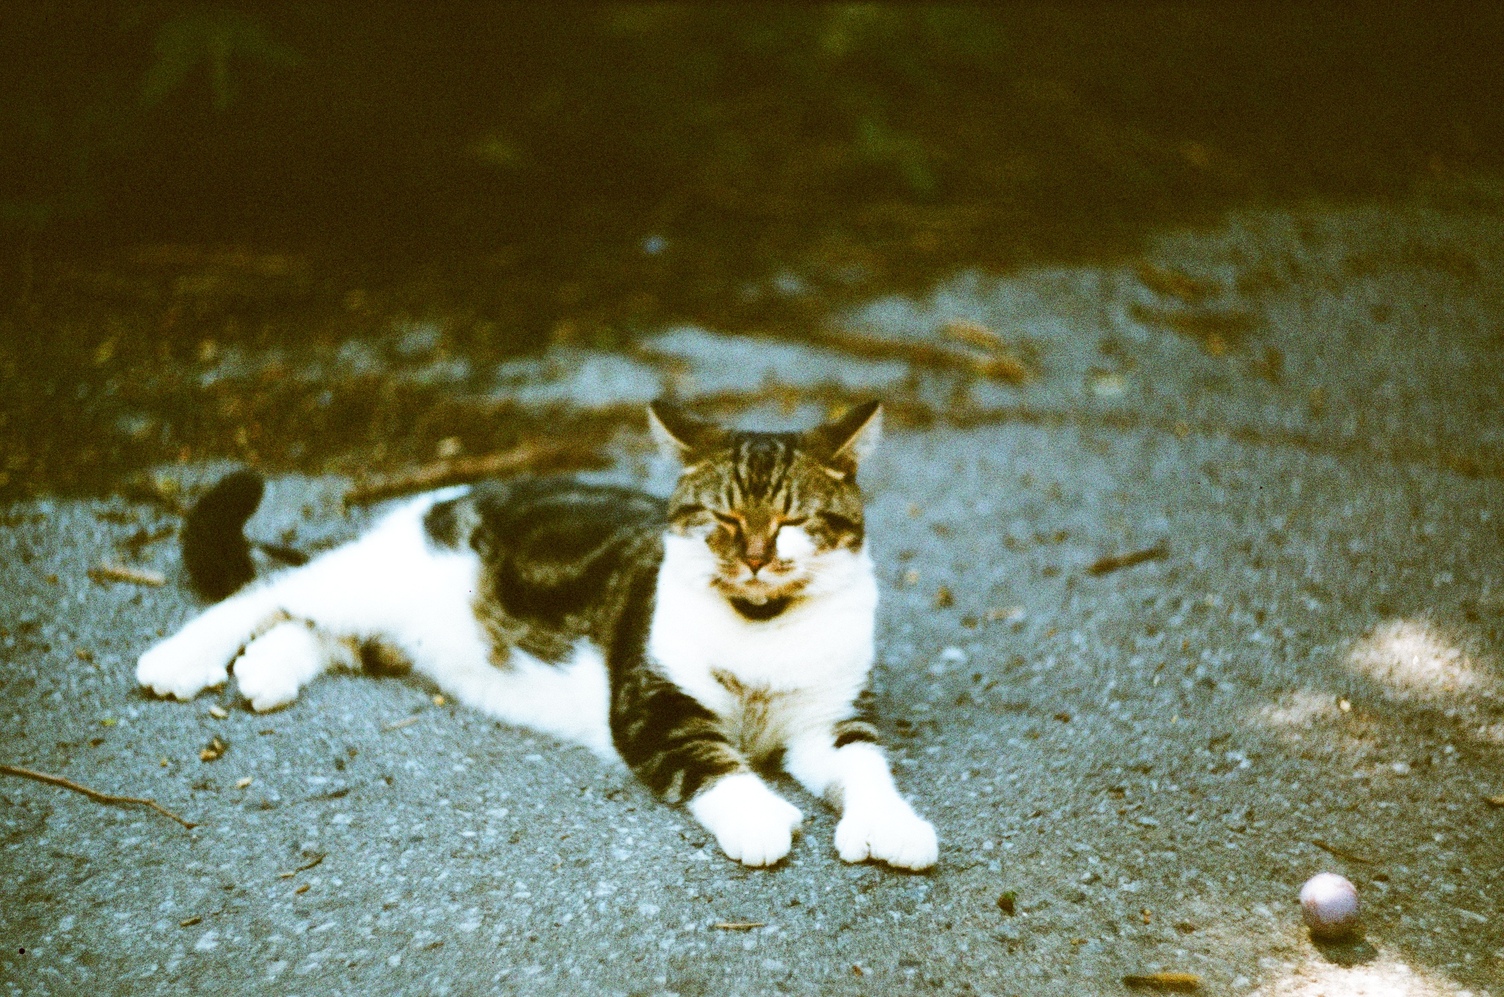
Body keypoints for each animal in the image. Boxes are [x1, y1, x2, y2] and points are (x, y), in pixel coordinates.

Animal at [141, 403, 938, 872]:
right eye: (724, 519)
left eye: (793, 521)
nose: (754, 557)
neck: (762, 623)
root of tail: (448, 498)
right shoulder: (651, 701)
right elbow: (708, 755)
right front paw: (761, 813)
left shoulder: (832, 716)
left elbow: (866, 764)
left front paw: (892, 825)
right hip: (371, 582)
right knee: (268, 592)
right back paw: (181, 657)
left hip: (396, 629)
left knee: (317, 632)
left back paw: (267, 669)